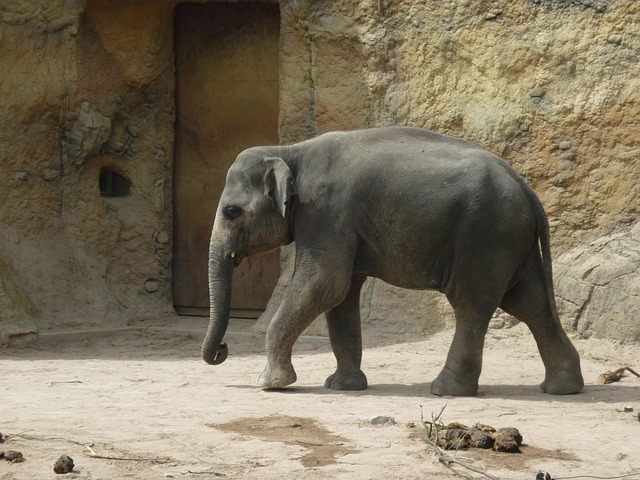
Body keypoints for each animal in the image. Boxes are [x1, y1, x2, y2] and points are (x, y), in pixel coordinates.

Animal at [201, 126, 584, 397]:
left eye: (232, 212)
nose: (221, 350)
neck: (291, 151)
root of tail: (527, 188)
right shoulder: (339, 223)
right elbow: (341, 295)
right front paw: (342, 386)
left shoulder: (326, 213)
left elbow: (324, 284)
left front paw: (270, 384)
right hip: (511, 241)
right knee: (530, 303)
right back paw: (563, 388)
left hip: (486, 236)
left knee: (472, 304)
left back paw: (446, 391)